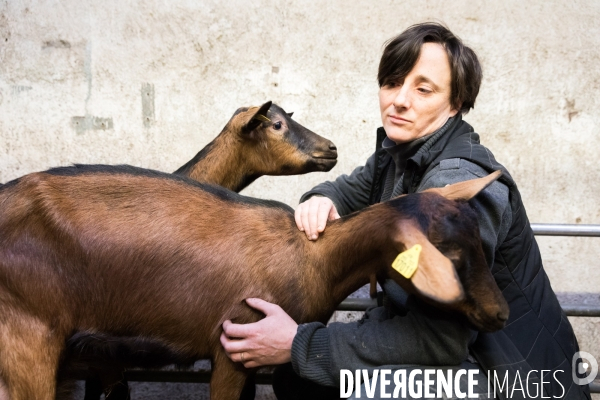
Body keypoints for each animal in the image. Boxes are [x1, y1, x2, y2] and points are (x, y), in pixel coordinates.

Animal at [0, 166, 508, 400]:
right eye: (452, 256)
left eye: (480, 241)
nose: (499, 313)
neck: (313, 260)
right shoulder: (231, 344)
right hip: (26, 338)